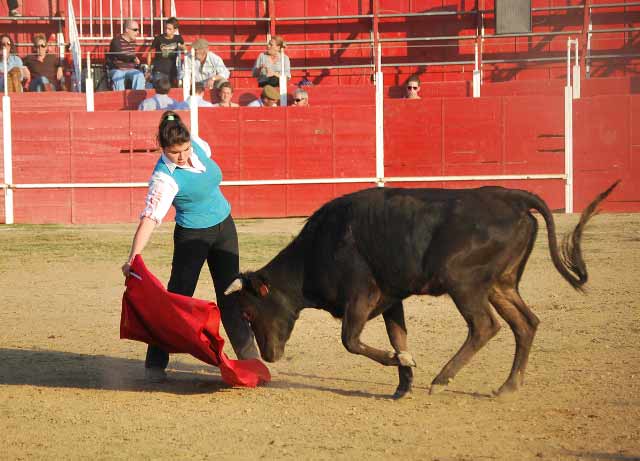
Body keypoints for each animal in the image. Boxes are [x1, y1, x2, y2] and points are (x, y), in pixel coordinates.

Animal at [225, 181, 620, 398]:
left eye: (249, 311)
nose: (270, 356)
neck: (319, 247)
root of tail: (513, 198)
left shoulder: (361, 295)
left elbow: (350, 340)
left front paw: (403, 365)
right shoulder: (390, 299)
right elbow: (398, 336)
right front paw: (403, 380)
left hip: (463, 281)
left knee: (485, 326)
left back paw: (442, 379)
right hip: (501, 284)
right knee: (525, 324)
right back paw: (507, 387)